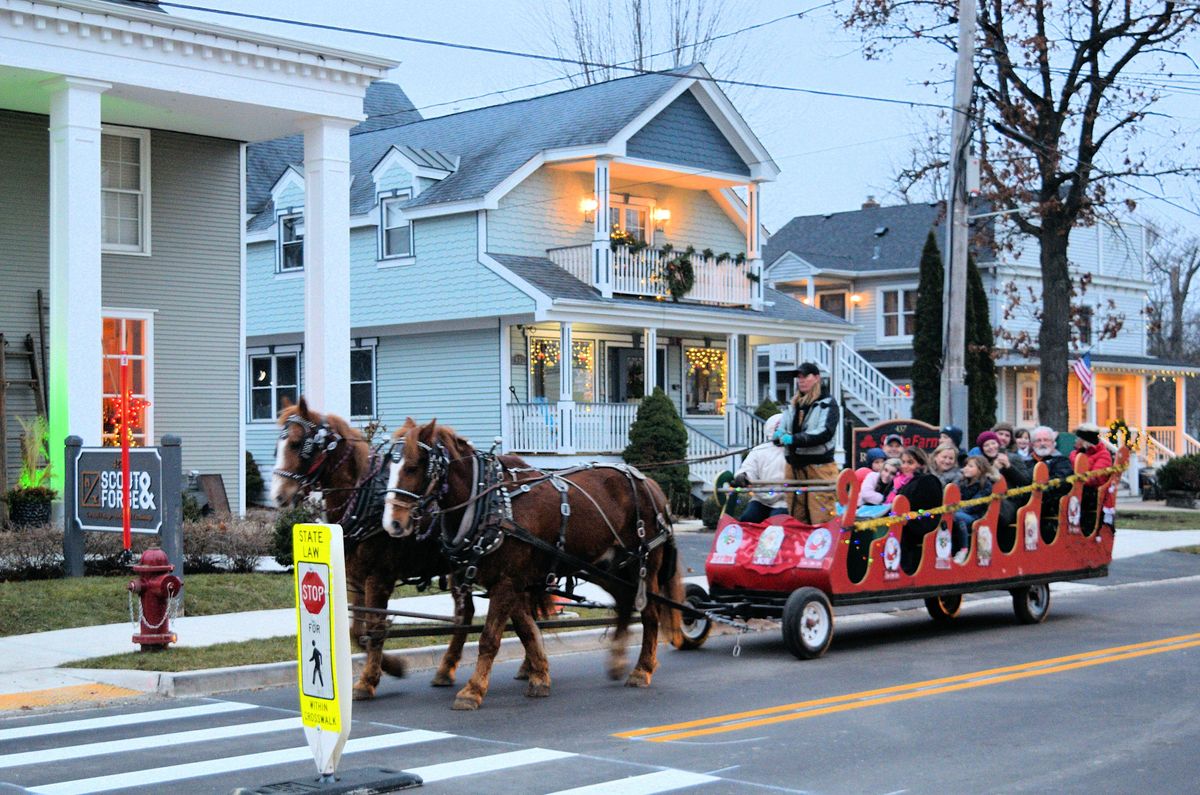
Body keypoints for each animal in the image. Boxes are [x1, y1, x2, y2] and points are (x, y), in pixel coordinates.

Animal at [272, 401, 535, 701]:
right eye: (277, 446)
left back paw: (526, 668)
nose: (278, 494)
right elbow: (356, 630)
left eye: (296, 444)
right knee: (470, 613)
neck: (364, 495)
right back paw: (452, 669)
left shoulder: (379, 577)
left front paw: (370, 679)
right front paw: (391, 666)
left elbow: (374, 628)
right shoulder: (355, 576)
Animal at [384, 420, 686, 710]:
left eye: (413, 467)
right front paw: (539, 676)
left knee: (650, 614)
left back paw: (641, 670)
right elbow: (527, 630)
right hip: (605, 566)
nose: (393, 523)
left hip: (644, 565)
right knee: (624, 601)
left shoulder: (507, 581)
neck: (491, 504)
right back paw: (617, 662)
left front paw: (473, 691)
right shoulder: (510, 582)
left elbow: (490, 638)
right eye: (389, 466)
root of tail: (652, 485)